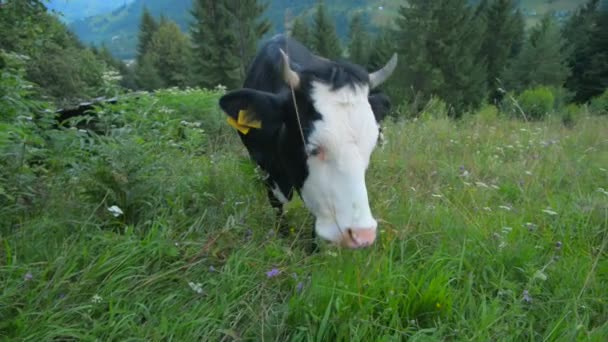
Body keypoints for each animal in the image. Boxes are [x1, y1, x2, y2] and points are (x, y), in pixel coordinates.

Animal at [221, 34, 396, 248]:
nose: (363, 235)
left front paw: (313, 248)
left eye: (371, 148)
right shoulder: (263, 167)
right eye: (312, 148)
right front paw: (282, 235)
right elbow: (277, 204)